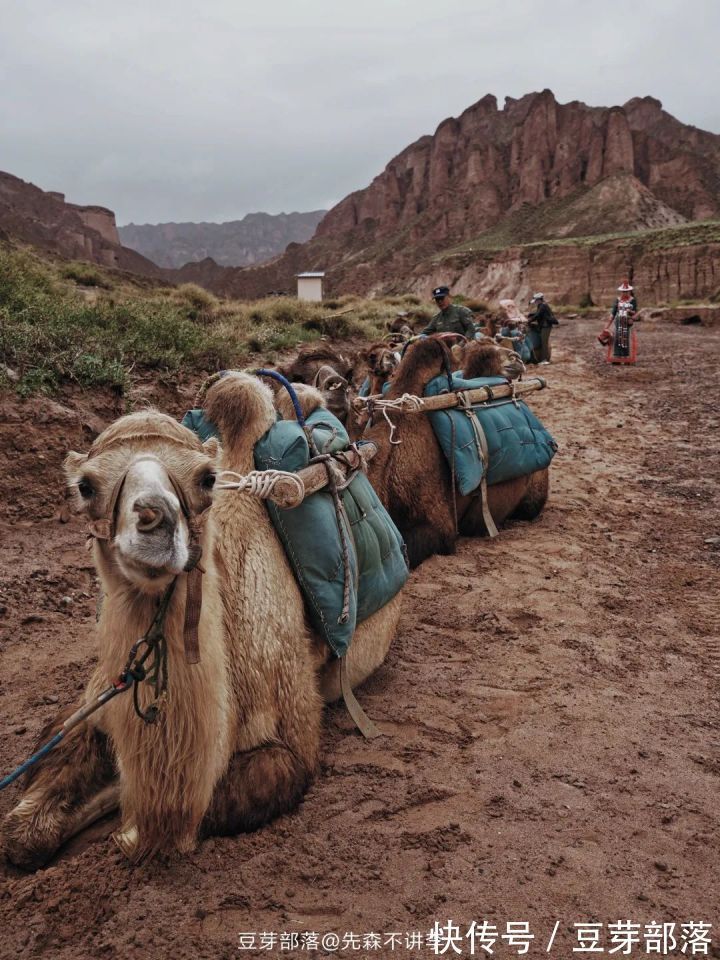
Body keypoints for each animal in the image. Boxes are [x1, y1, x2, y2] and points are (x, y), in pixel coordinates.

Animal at [2, 374, 402, 872]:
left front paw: (126, 826)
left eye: (207, 479)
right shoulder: (96, 699)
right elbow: (24, 833)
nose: (153, 518)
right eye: (86, 487)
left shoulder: (293, 736)